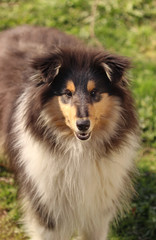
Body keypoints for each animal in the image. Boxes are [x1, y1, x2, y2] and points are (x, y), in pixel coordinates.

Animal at [0, 25, 139, 239]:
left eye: (94, 92)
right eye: (67, 93)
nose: (83, 125)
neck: (78, 150)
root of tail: (16, 28)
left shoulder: (97, 212)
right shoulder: (48, 212)